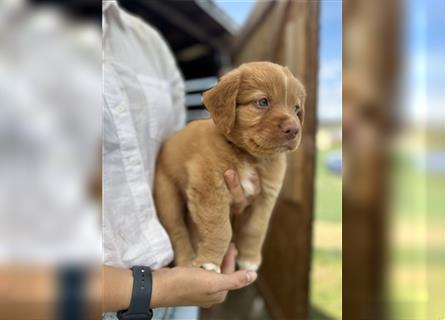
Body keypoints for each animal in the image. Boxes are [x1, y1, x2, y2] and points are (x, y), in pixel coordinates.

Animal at [153, 61, 306, 272]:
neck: (249, 157)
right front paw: (209, 262)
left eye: (296, 108)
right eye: (262, 102)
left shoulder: (265, 197)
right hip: (168, 197)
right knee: (177, 231)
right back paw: (187, 262)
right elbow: (220, 228)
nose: (294, 130)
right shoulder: (209, 189)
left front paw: (249, 259)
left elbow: (256, 228)